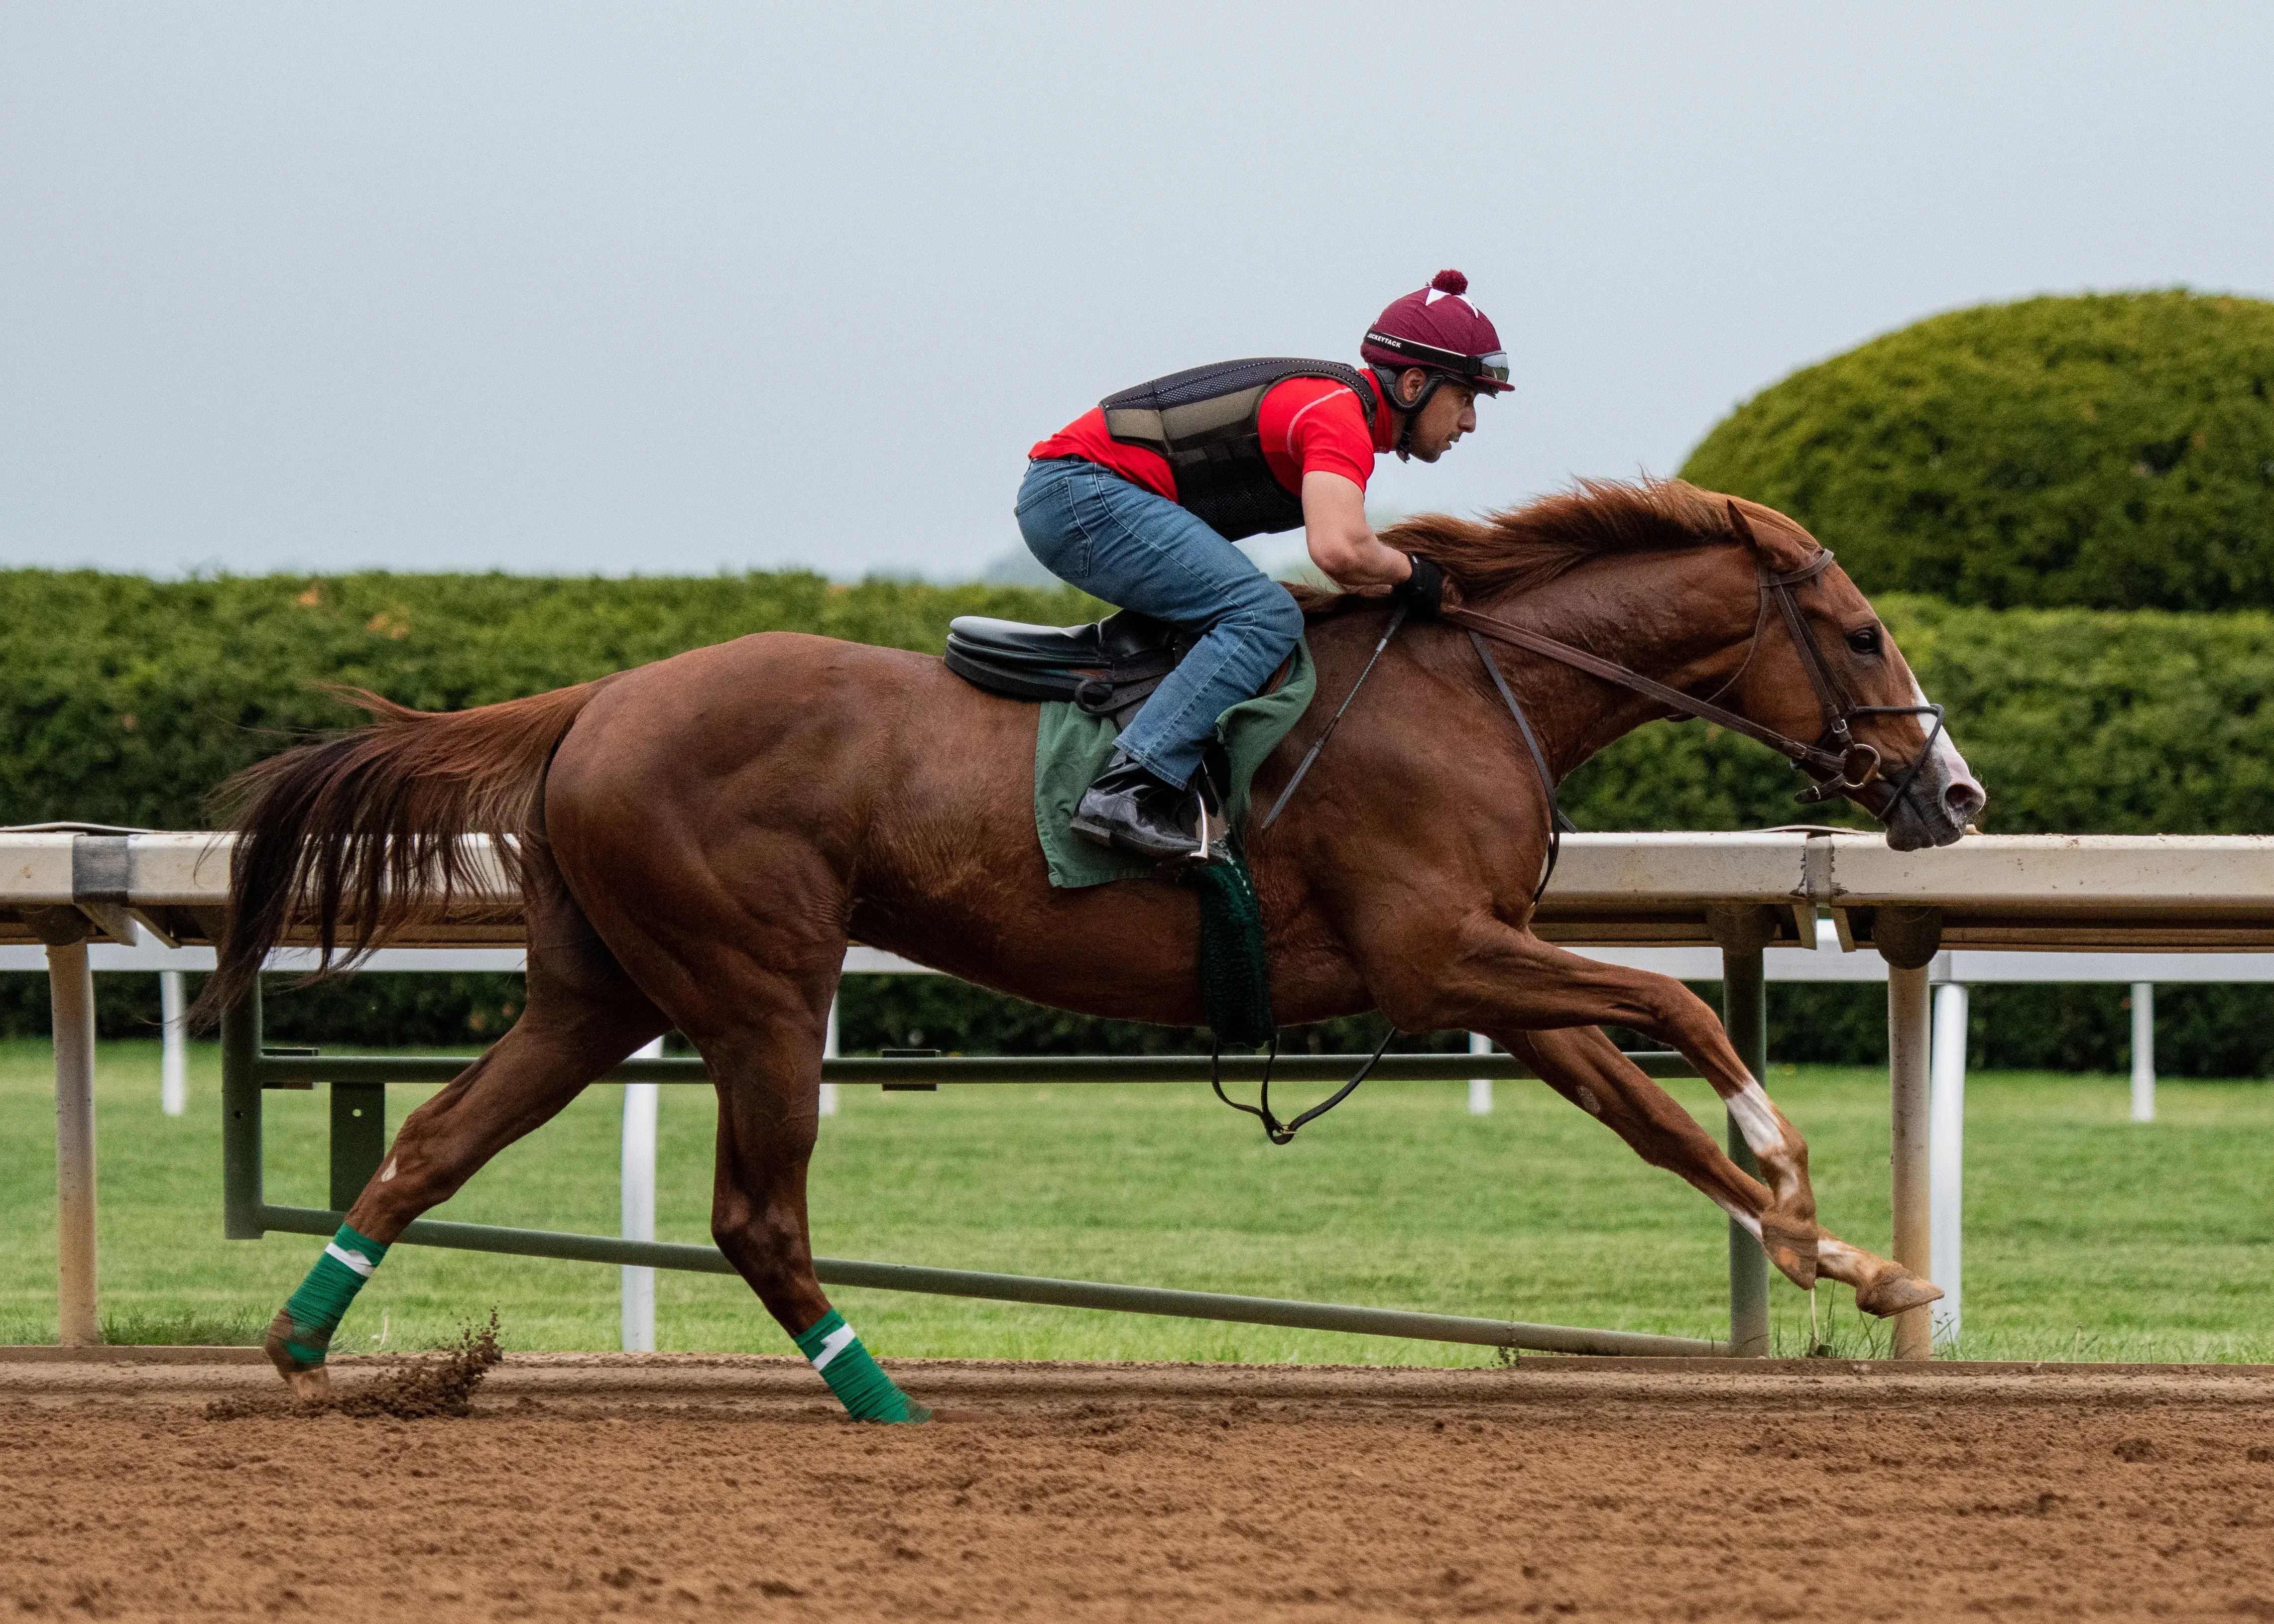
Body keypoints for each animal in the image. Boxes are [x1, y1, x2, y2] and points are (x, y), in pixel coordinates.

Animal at [199, 477, 1986, 1412]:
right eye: (1855, 634)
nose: (1950, 789)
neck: (1467, 686)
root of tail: (593, 699)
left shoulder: (1484, 963)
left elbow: (1651, 1112)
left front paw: (1852, 1260)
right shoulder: (1436, 953)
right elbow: (1682, 1014)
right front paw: (1810, 1199)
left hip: (599, 987)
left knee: (430, 1139)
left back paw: (303, 1346)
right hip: (757, 982)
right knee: (753, 1216)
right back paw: (879, 1390)